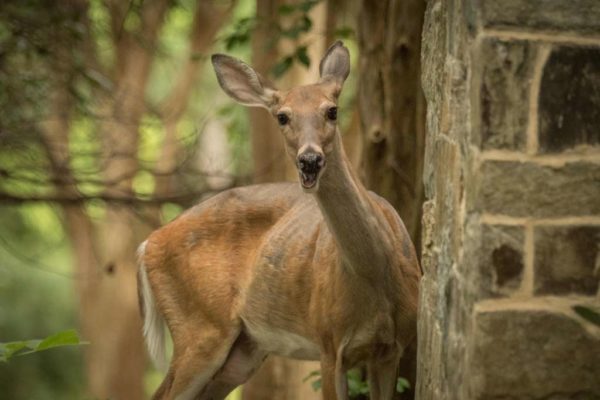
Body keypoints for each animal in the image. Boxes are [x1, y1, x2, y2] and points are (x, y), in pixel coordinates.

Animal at [138, 41, 420, 400]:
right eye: (283, 116)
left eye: (332, 110)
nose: (310, 160)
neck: (376, 279)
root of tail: (147, 244)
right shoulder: (329, 342)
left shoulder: (392, 347)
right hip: (199, 327)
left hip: (242, 351)